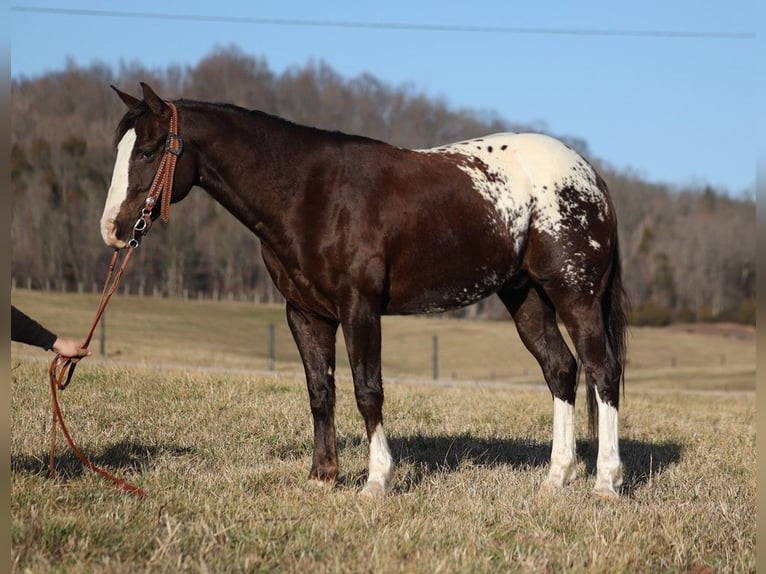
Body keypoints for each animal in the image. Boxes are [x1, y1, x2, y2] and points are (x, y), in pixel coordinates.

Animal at [100, 81, 632, 500]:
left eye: (148, 151)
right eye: (120, 151)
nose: (114, 230)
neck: (308, 192)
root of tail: (591, 176)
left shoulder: (359, 308)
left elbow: (367, 390)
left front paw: (376, 480)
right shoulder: (305, 314)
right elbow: (320, 392)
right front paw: (321, 477)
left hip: (576, 296)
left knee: (602, 372)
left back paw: (606, 481)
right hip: (527, 297)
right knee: (561, 371)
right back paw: (555, 477)